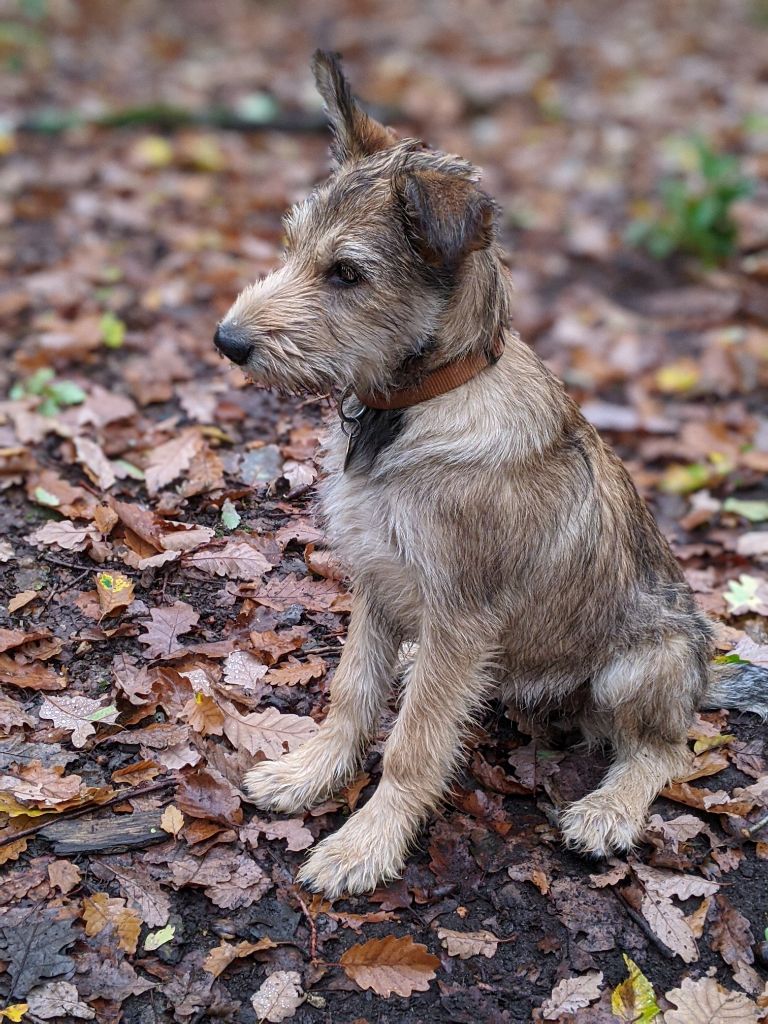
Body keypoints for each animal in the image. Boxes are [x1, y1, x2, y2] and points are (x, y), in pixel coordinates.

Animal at [215, 49, 768, 897]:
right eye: (292, 245)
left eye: (346, 273)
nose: (228, 340)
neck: (415, 406)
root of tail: (705, 677)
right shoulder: (376, 580)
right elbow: (352, 692)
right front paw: (311, 772)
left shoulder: (459, 610)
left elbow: (412, 744)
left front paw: (365, 844)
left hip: (640, 667)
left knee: (663, 749)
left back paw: (608, 810)